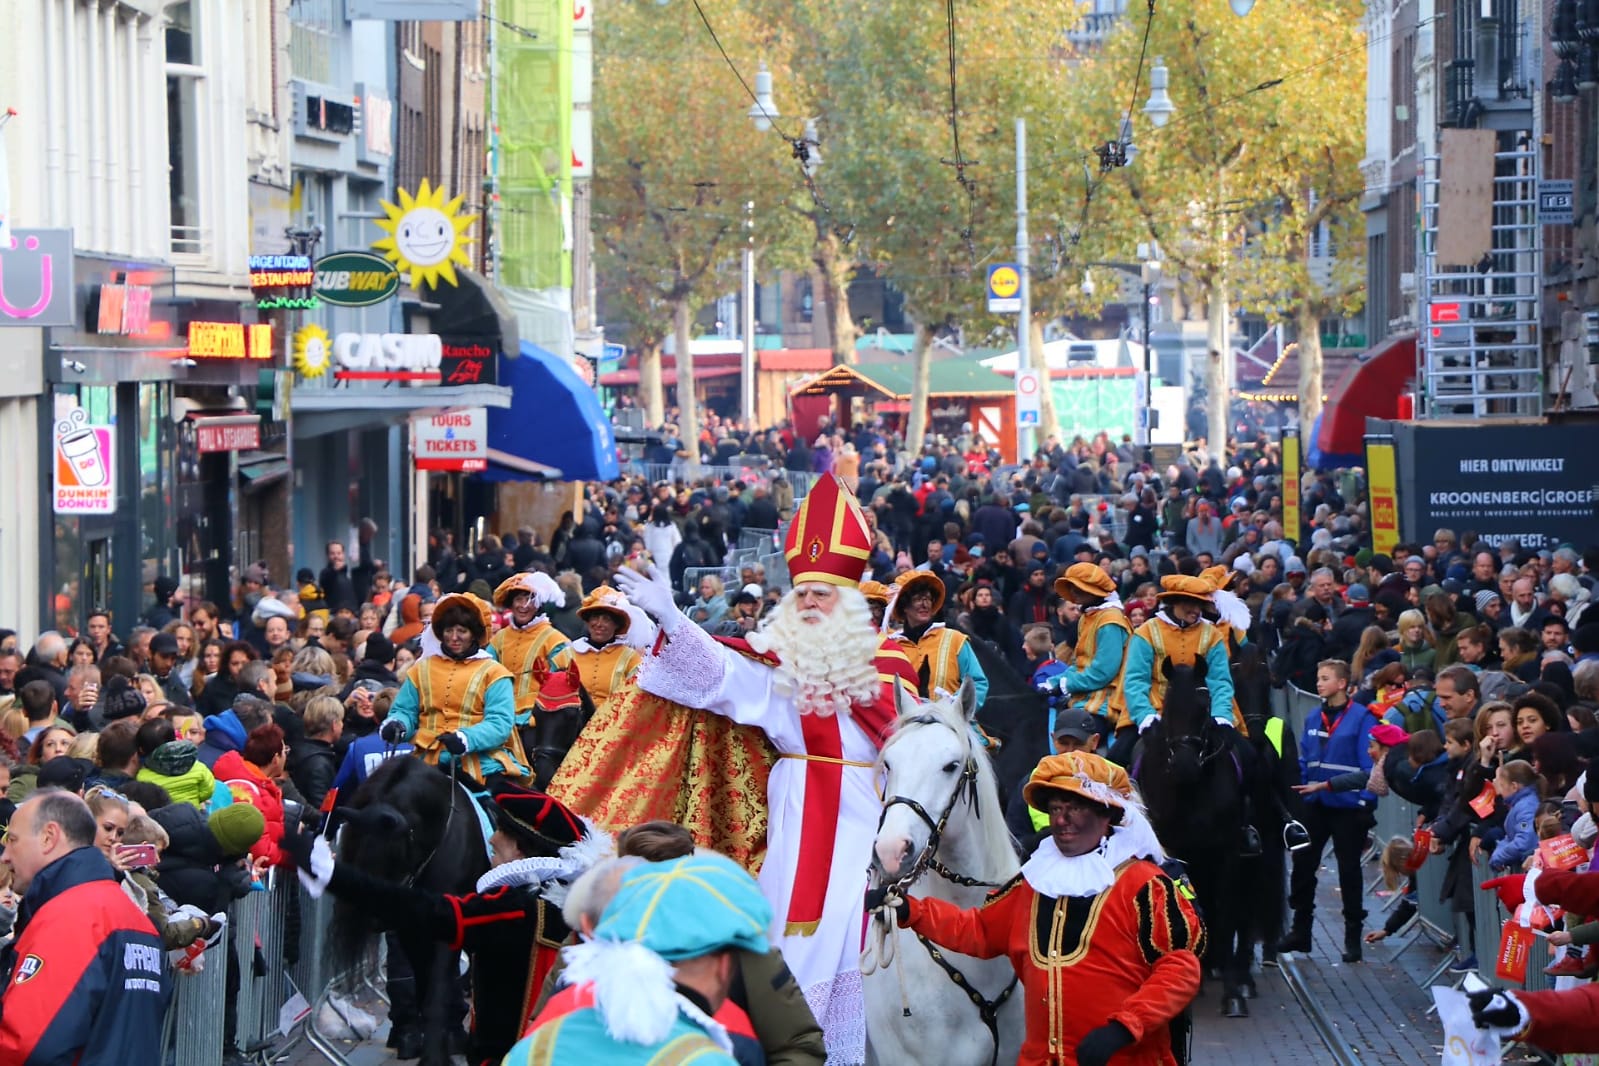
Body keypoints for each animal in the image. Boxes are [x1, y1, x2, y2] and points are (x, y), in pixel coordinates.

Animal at [329, 757, 486, 1066]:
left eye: (390, 854)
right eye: (353, 851)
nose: (375, 917)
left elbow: (437, 990)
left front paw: (436, 1056)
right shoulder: (411, 931)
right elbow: (425, 988)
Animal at [1132, 661, 1253, 1022]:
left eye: (1205, 705)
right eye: (1168, 707)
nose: (1184, 767)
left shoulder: (1228, 853)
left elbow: (1227, 914)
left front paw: (1232, 994)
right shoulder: (1177, 852)